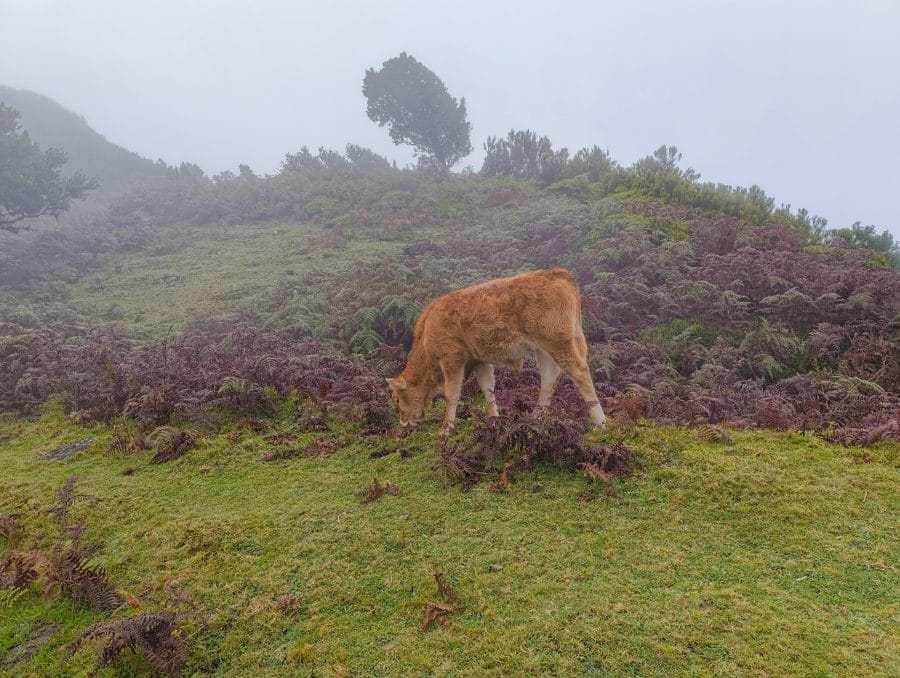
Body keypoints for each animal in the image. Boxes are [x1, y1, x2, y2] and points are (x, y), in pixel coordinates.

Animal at [384, 268, 604, 438]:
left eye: (397, 400)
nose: (403, 423)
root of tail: (557, 273)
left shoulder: (452, 359)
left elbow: (451, 394)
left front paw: (446, 429)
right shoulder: (479, 360)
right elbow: (487, 388)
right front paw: (493, 419)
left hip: (558, 343)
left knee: (580, 373)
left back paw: (600, 422)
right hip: (544, 349)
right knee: (549, 379)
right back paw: (536, 418)